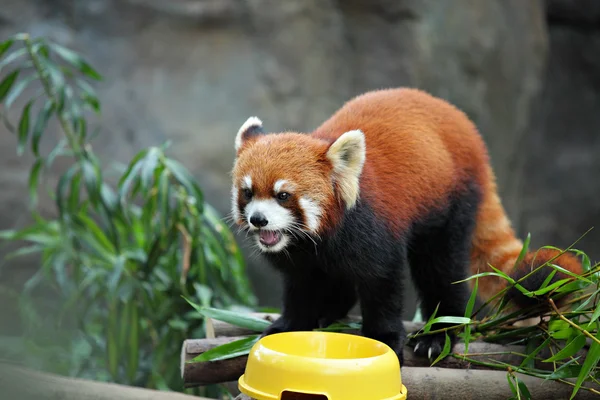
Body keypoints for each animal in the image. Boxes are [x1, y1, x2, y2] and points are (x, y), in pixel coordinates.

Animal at [229, 88, 580, 366]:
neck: (316, 238)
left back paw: (438, 333)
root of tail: (465, 128)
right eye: (248, 192)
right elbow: (301, 287)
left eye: (283, 195)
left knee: (440, 269)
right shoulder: (300, 256)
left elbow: (382, 283)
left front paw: (383, 337)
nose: (258, 219)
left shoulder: (371, 230)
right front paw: (290, 324)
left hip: (449, 204)